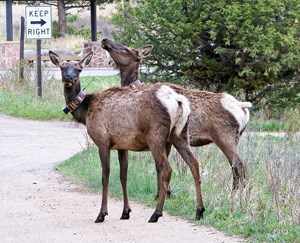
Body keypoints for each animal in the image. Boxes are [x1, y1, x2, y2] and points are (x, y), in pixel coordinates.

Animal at [48, 50, 206, 223]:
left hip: (156, 136)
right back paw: (199, 210)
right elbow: (123, 176)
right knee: (194, 163)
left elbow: (105, 176)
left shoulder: (103, 141)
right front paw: (126, 212)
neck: (85, 111)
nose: (68, 78)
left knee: (166, 169)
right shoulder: (122, 146)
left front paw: (102, 214)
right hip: (180, 134)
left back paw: (156, 213)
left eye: (79, 69)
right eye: (62, 68)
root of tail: (178, 101)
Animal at [101, 39, 253, 193]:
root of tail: (243, 107)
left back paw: (236, 194)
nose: (105, 40)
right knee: (236, 167)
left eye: (126, 49)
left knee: (239, 165)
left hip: (224, 136)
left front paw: (166, 192)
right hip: (235, 137)